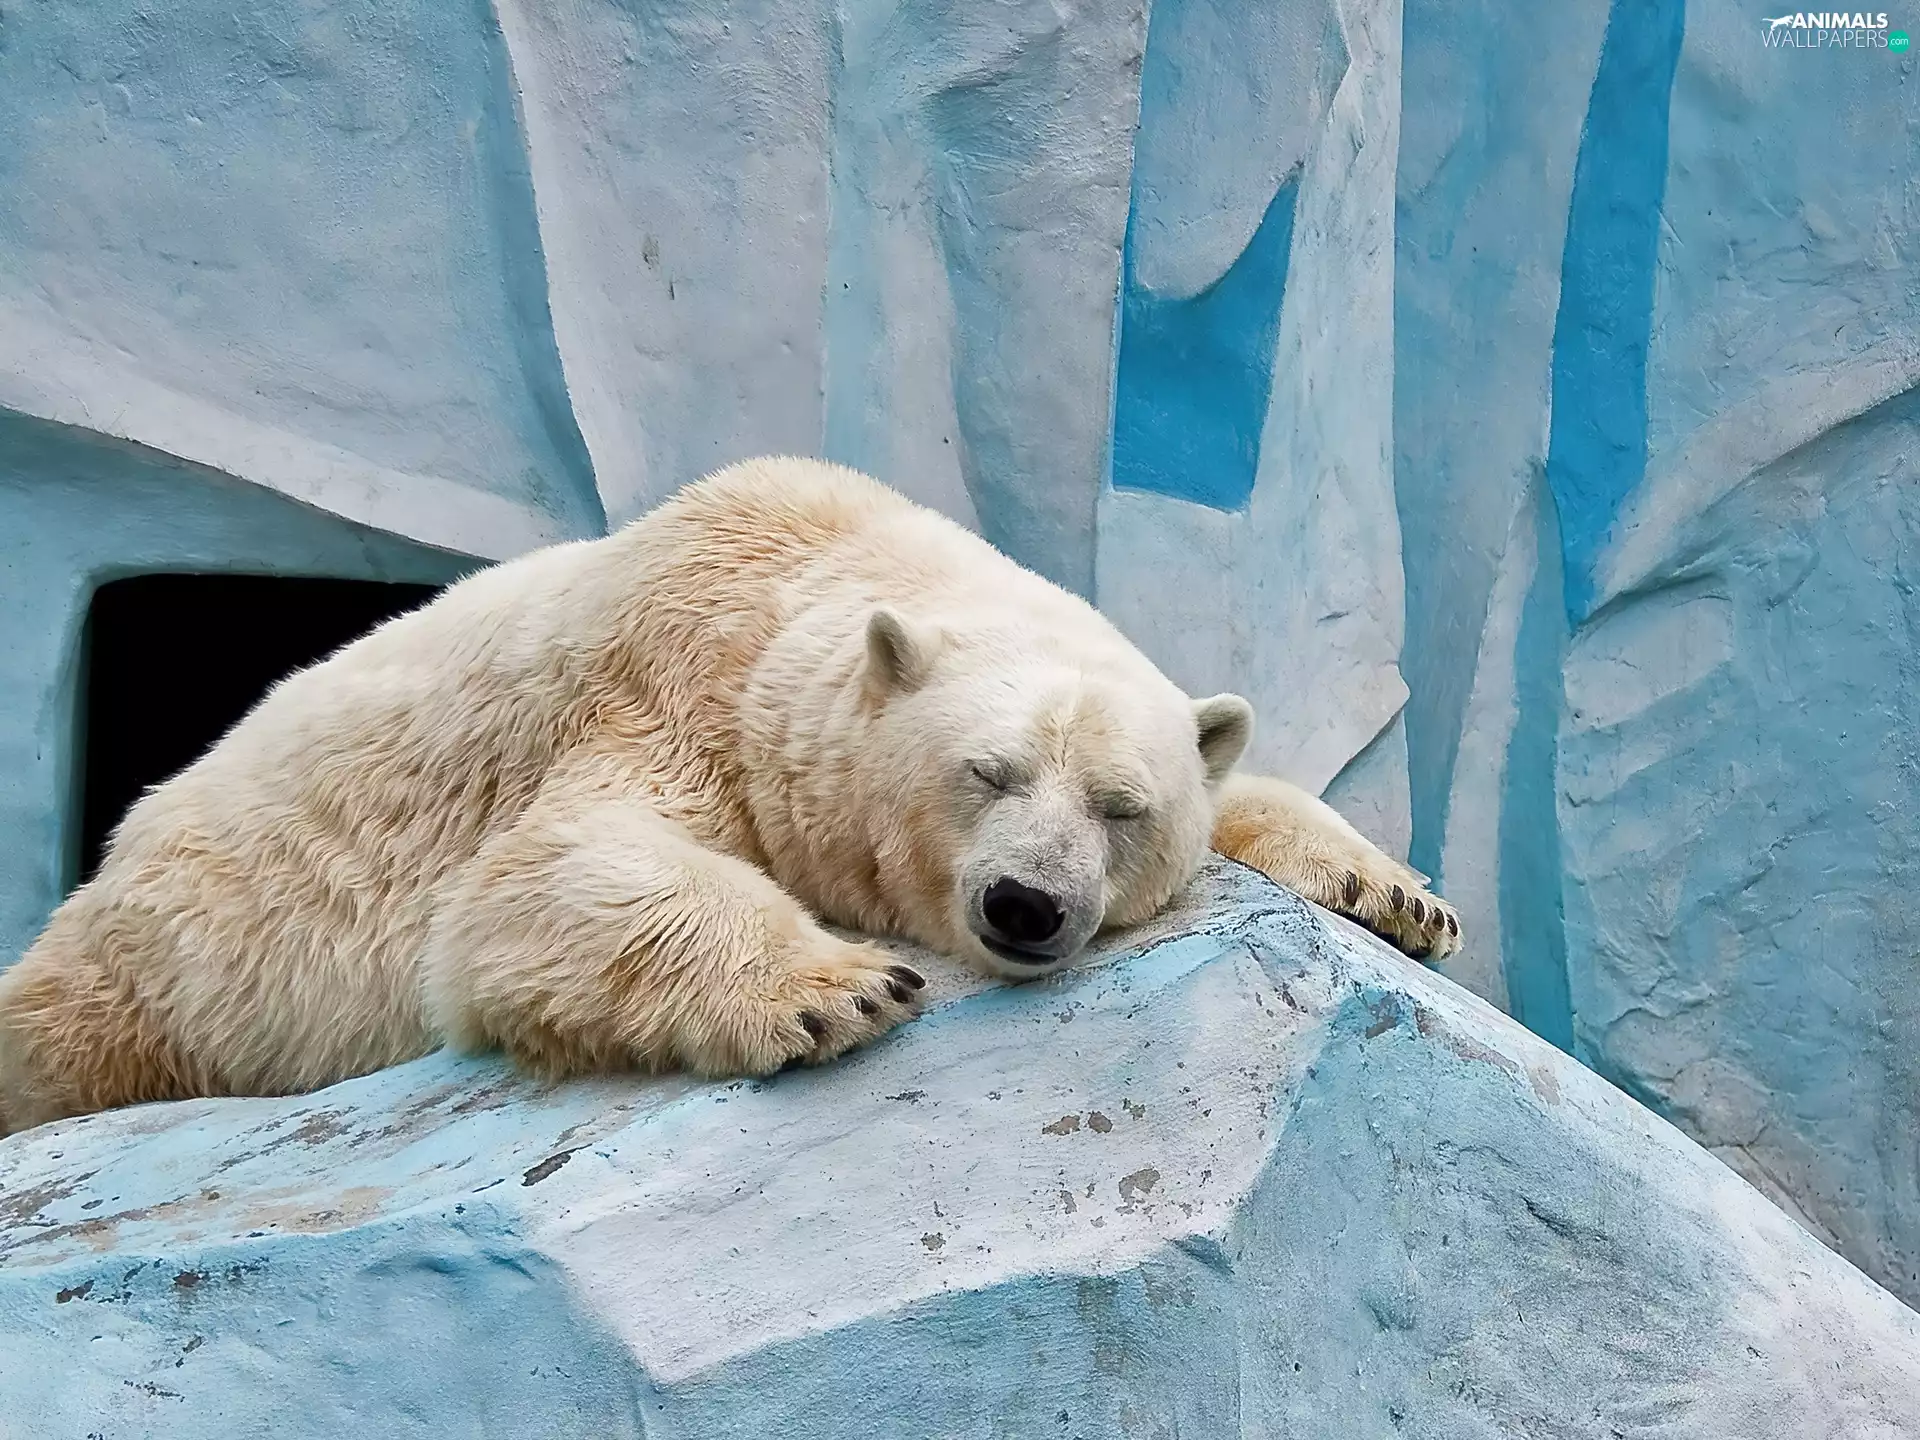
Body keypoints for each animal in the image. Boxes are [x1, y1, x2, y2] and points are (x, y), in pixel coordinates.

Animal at [0, 457, 1458, 1134]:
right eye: (984, 771)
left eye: (1120, 805)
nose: (1027, 907)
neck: (811, 566)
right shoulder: (667, 686)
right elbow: (540, 877)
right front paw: (840, 988)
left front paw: (1399, 895)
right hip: (170, 954)